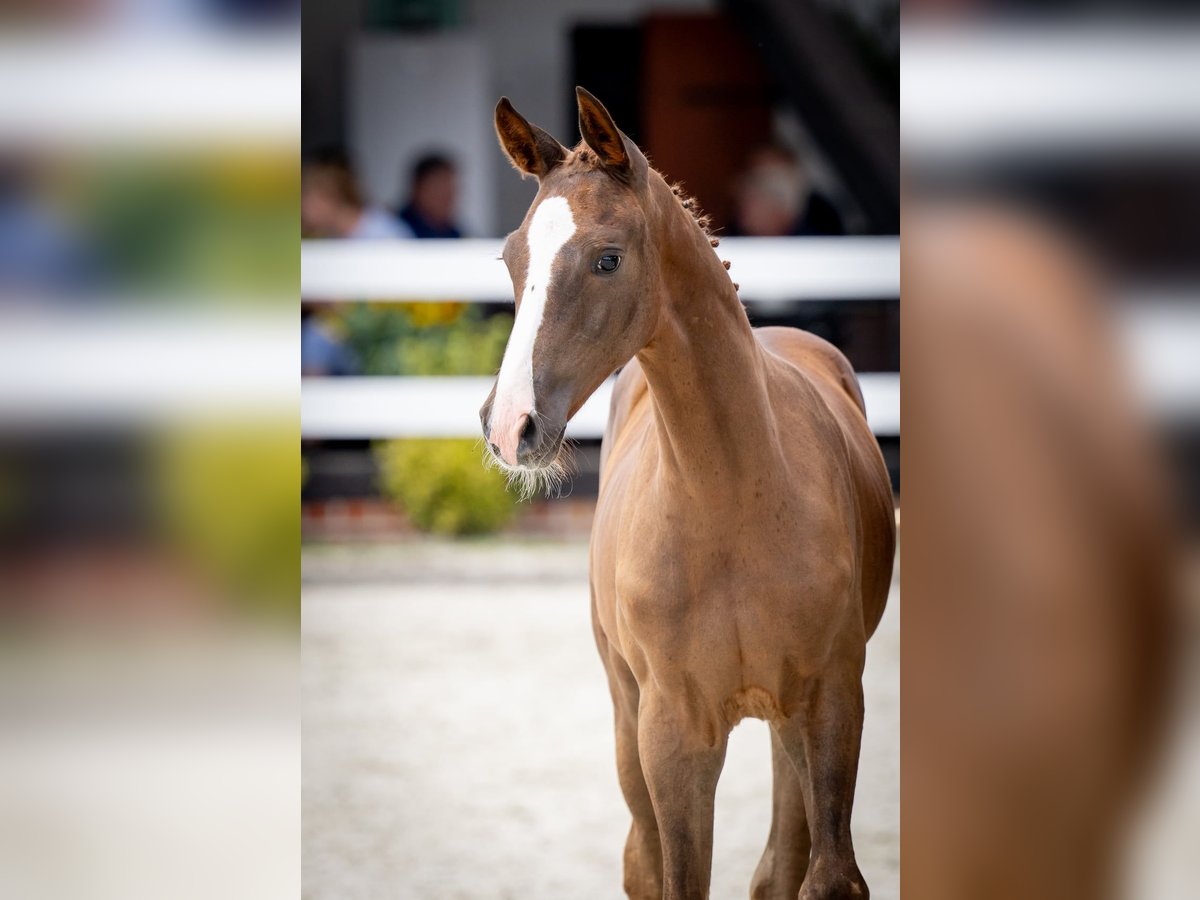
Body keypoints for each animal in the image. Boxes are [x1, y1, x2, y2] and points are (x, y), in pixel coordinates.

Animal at [477, 86, 892, 900]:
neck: (727, 501)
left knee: (779, 862)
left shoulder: (833, 700)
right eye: (512, 258)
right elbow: (676, 875)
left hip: (785, 720)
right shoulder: (670, 730)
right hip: (626, 708)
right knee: (645, 856)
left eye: (607, 258)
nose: (509, 426)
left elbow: (826, 876)